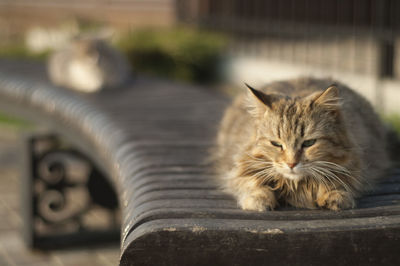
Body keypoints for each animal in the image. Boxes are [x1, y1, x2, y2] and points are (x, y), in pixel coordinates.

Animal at [214, 77, 390, 212]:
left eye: (309, 143)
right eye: (276, 144)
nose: (291, 164)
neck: (297, 185)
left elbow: (338, 183)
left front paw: (334, 196)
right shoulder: (240, 167)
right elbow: (252, 183)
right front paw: (259, 199)